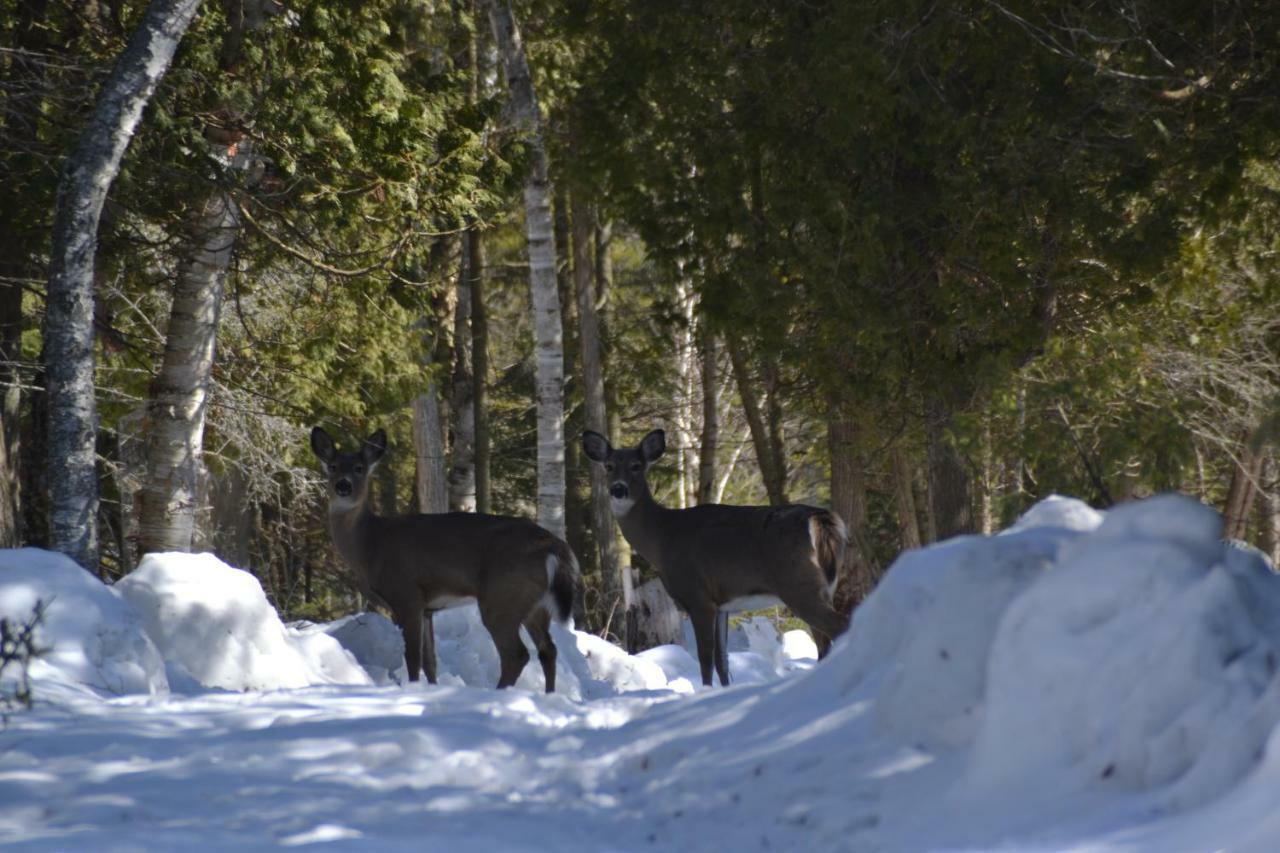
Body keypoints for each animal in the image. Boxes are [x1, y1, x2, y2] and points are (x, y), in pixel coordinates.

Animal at [307, 425, 578, 691]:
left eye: (359, 468)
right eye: (332, 466)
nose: (343, 486)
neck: (370, 546)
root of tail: (552, 545)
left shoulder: (407, 594)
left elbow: (413, 657)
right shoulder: (427, 609)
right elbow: (430, 661)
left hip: (503, 595)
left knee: (517, 654)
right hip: (535, 603)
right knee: (548, 650)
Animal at [583, 425, 849, 686]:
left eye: (637, 465)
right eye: (609, 466)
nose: (618, 489)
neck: (663, 538)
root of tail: (820, 519)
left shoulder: (698, 596)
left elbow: (705, 658)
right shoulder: (722, 604)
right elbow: (723, 662)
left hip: (799, 585)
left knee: (839, 627)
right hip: (821, 587)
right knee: (825, 641)